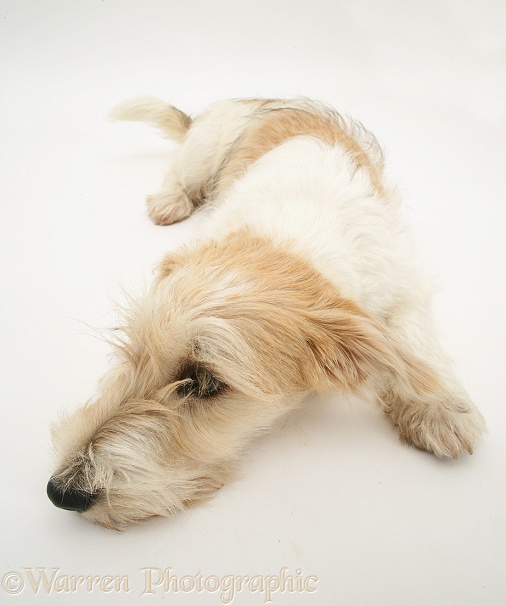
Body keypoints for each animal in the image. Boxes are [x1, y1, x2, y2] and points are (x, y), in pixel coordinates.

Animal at [48, 97, 486, 528]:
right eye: (132, 351)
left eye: (205, 383)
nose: (60, 492)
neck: (289, 243)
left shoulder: (404, 282)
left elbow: (414, 339)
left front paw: (442, 408)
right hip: (200, 153)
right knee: (178, 172)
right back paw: (170, 201)